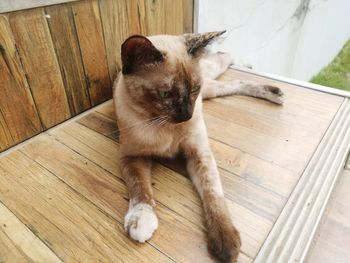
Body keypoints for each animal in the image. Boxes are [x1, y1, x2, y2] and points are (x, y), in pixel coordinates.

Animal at [113, 31, 284, 263]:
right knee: (233, 80)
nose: (187, 115)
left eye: (194, 89)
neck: (164, 126)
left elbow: (213, 195)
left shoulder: (199, 154)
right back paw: (273, 91)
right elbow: (140, 190)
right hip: (212, 89)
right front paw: (141, 221)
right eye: (165, 94)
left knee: (224, 60)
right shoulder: (132, 157)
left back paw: (267, 84)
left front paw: (225, 243)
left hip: (210, 84)